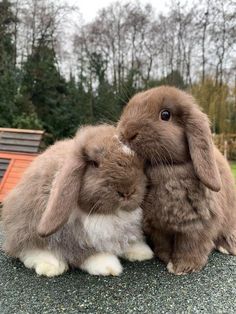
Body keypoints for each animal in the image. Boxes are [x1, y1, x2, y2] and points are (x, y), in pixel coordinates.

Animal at [1, 125, 153, 278]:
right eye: (94, 163)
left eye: (140, 162)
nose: (127, 192)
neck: (110, 214)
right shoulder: (79, 238)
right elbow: (89, 253)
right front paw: (108, 266)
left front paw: (142, 252)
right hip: (27, 226)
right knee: (30, 249)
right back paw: (50, 267)